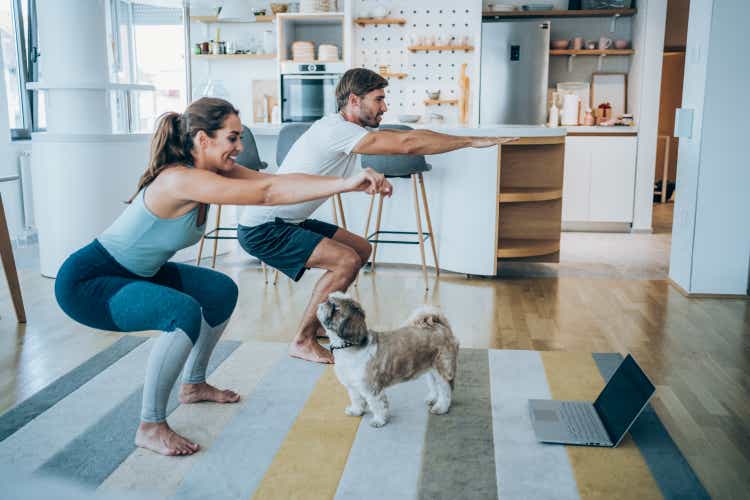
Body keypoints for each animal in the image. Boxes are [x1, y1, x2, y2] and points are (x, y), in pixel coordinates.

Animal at [316, 292, 458, 428]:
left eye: (334, 307)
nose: (323, 302)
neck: (348, 347)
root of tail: (440, 326)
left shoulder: (372, 388)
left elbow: (377, 405)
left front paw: (378, 421)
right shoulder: (353, 386)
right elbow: (357, 400)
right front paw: (356, 411)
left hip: (443, 368)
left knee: (445, 390)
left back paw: (441, 407)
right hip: (430, 369)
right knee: (434, 384)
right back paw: (432, 398)